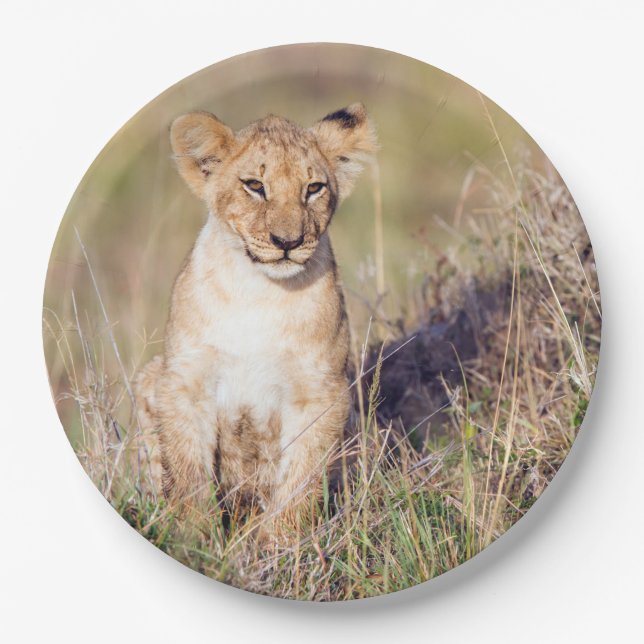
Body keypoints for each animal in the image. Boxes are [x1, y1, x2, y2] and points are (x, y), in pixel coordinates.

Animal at [133, 103, 377, 536]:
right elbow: (188, 474)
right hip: (150, 376)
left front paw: (280, 545)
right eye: (254, 185)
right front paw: (195, 540)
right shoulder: (184, 382)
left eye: (314, 188)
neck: (260, 292)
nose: (288, 242)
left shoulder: (320, 392)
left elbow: (299, 481)